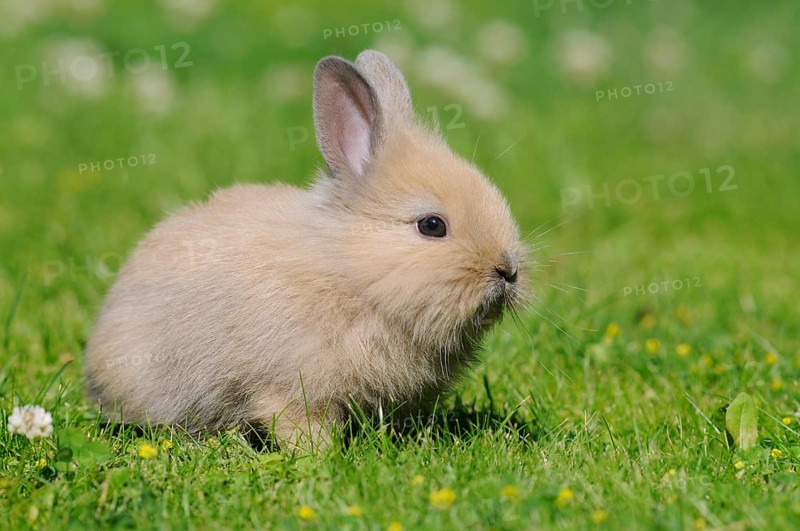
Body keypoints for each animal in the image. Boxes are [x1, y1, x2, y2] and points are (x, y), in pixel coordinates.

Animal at [84, 50, 529, 448]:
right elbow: (298, 425)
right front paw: (320, 458)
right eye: (432, 226)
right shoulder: (290, 390)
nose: (507, 271)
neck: (347, 273)